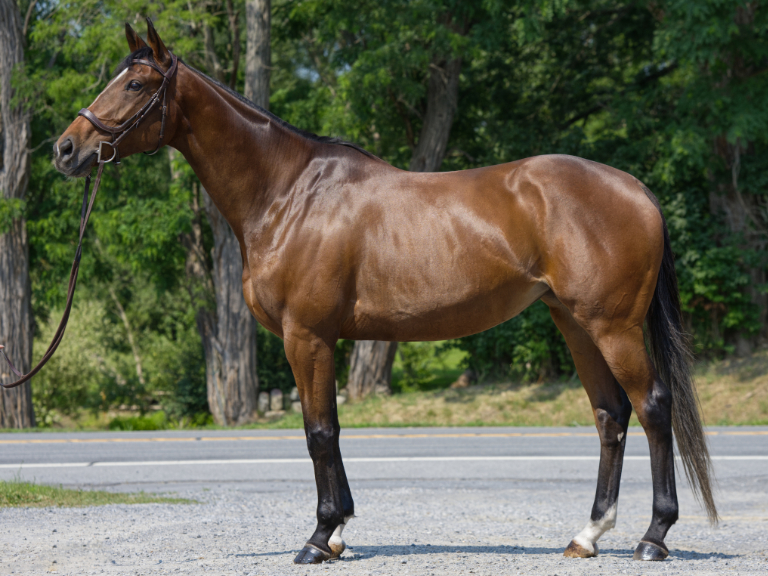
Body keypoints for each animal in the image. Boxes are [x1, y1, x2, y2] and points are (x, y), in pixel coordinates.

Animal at [53, 20, 716, 564]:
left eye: (137, 83)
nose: (65, 149)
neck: (288, 193)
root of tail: (636, 189)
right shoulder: (322, 341)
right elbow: (330, 428)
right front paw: (339, 531)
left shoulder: (307, 337)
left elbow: (318, 432)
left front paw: (320, 537)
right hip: (575, 323)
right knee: (611, 414)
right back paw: (588, 535)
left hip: (613, 327)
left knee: (653, 407)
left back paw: (654, 537)